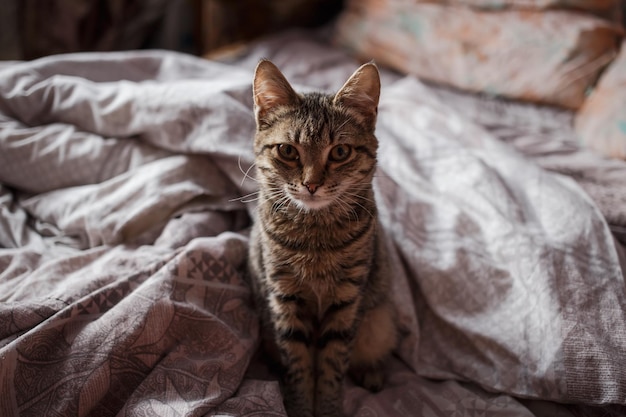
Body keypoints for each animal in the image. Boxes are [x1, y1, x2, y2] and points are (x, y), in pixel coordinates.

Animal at [245, 59, 394, 416]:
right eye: (287, 150)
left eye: (340, 151)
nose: (311, 184)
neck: (315, 235)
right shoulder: (283, 297)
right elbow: (298, 365)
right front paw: (299, 406)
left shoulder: (347, 300)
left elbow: (332, 366)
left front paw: (327, 408)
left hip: (379, 322)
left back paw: (372, 372)